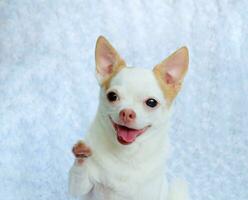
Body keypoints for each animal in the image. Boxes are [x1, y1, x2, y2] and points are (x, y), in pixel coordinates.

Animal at [69, 36, 189, 200]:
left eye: (151, 102)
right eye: (112, 96)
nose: (126, 112)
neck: (126, 154)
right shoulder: (82, 188)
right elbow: (78, 178)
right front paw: (81, 155)